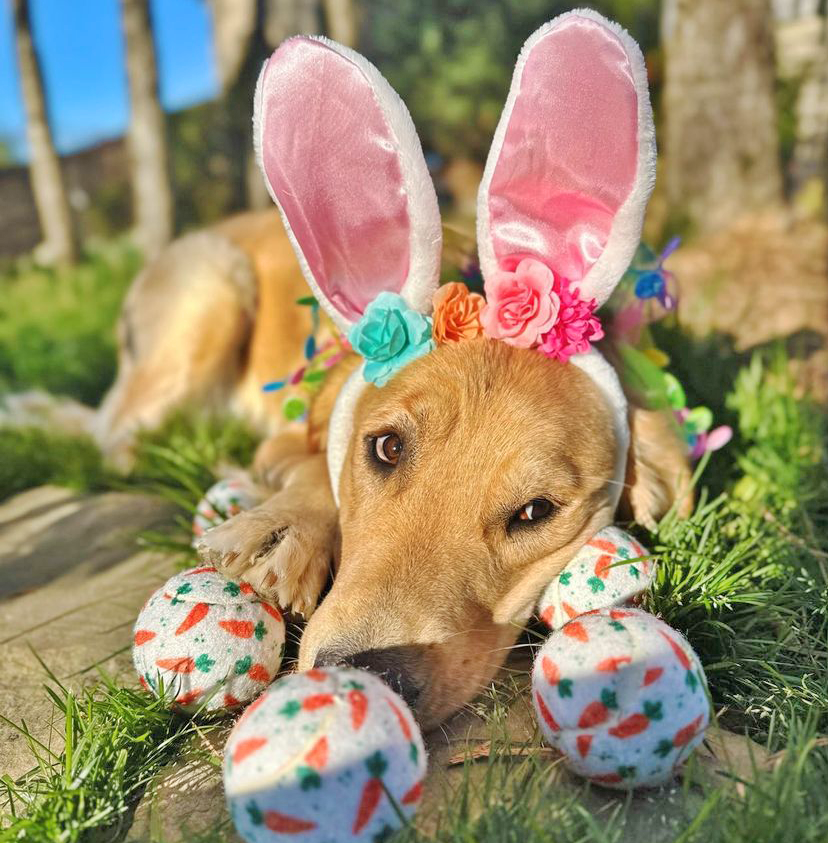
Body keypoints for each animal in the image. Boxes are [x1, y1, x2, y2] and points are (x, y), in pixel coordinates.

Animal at [94, 9, 696, 728]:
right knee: (113, 431)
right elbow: (310, 471)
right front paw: (278, 531)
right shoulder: (293, 434)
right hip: (213, 290)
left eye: (535, 511)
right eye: (384, 447)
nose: (369, 675)